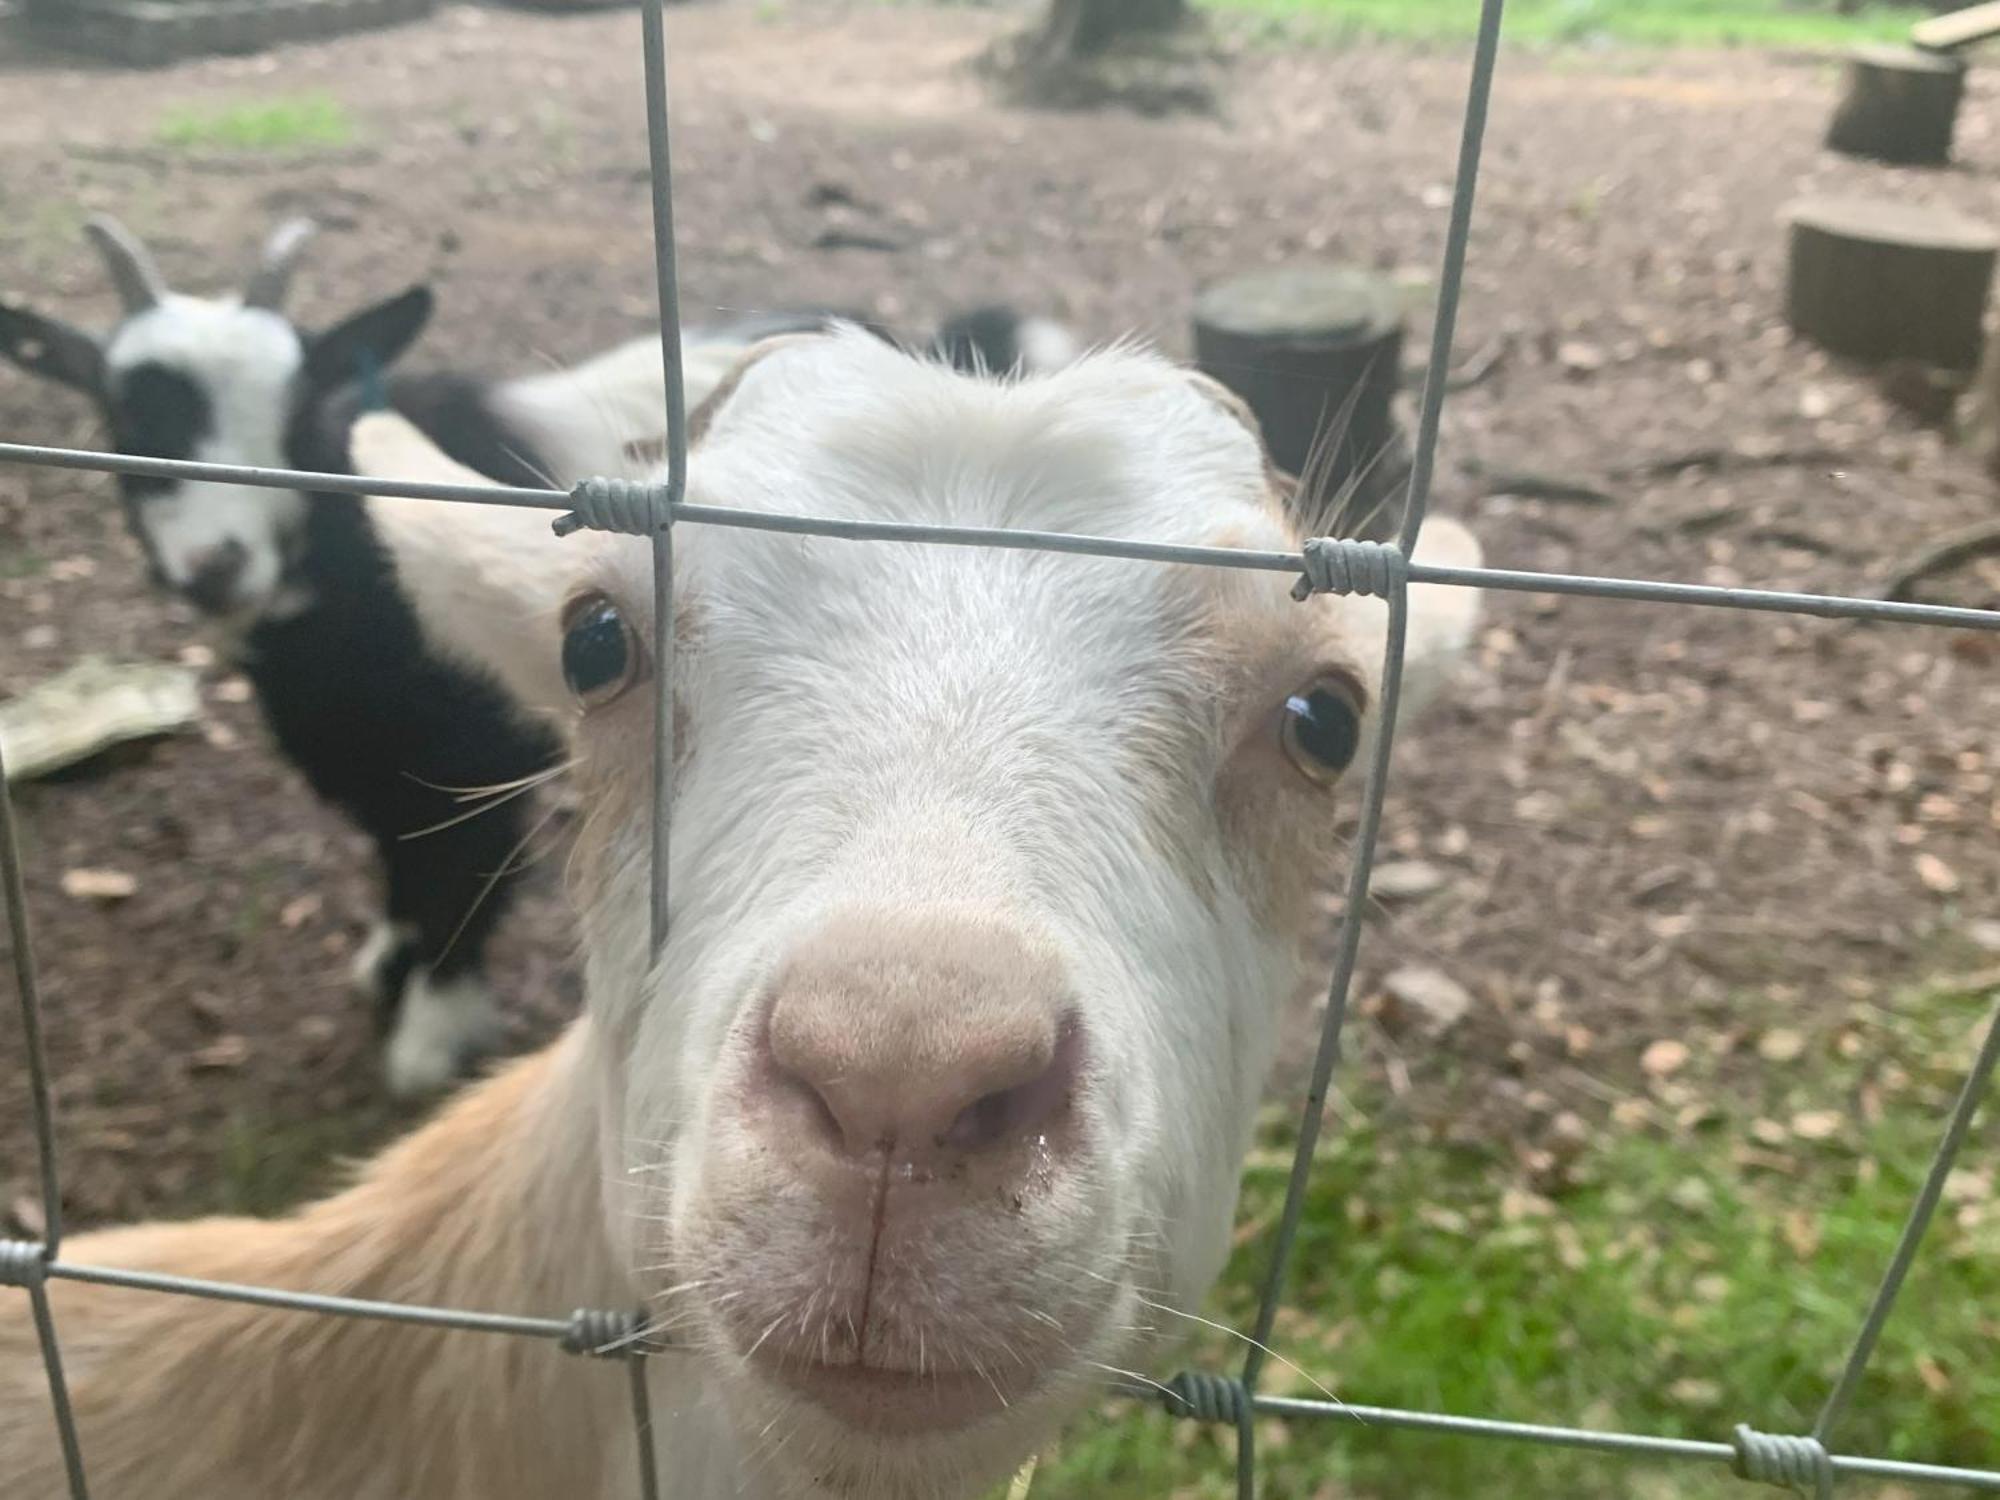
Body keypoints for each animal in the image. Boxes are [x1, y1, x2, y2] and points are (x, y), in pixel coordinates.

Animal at [0, 217, 1080, 1096]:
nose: (216, 565)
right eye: (127, 419)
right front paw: (386, 961)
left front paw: (429, 1035)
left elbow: (453, 875)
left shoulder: (468, 752)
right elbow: (398, 859)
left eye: (301, 414)